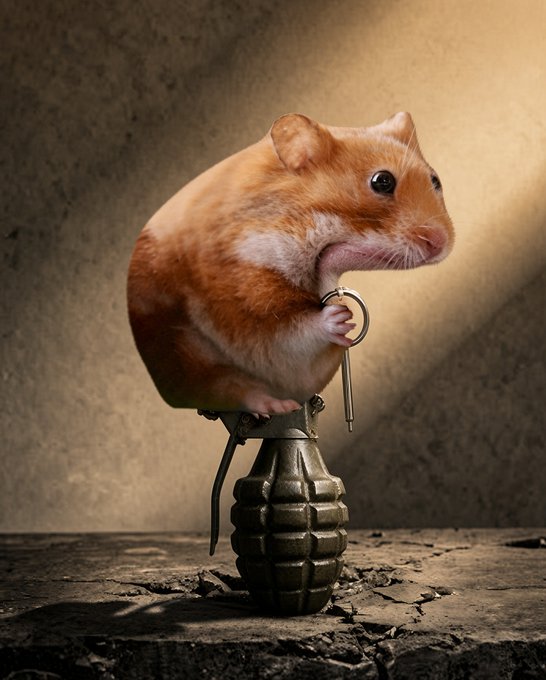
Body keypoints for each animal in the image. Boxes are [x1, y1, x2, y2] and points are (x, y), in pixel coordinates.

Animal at [127, 112, 454, 415]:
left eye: (435, 180)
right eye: (382, 181)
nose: (442, 243)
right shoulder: (240, 303)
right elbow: (286, 335)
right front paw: (342, 318)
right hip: (185, 354)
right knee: (226, 386)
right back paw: (277, 406)